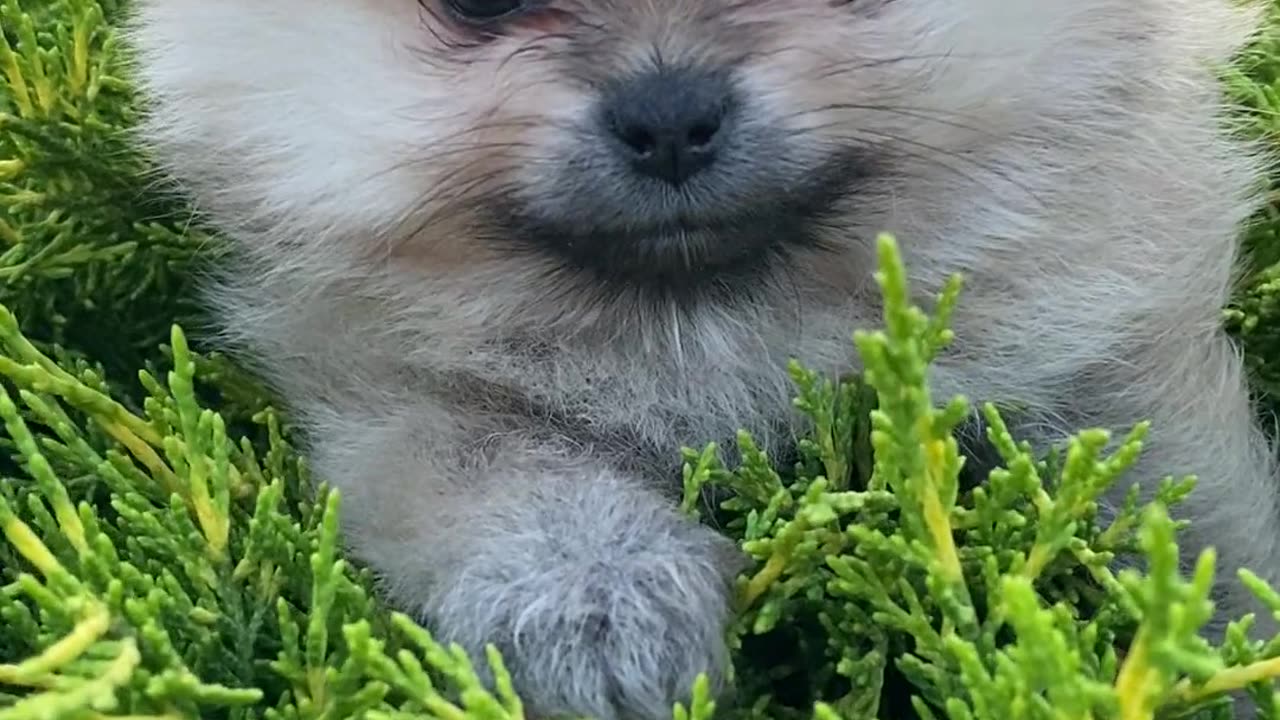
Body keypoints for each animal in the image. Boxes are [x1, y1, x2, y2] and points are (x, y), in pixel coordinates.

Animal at [124, 2, 1280, 712]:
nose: (668, 114)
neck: (710, 332)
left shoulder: (1102, 337)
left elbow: (1183, 506)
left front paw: (1225, 644)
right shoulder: (384, 375)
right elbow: (493, 461)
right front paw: (600, 602)